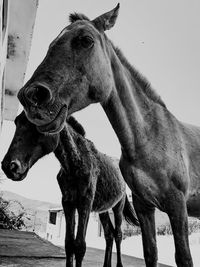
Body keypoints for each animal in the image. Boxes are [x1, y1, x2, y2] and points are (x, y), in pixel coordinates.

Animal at [16, 4, 198, 267]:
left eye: (85, 40)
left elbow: (183, 258)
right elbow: (149, 254)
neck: (149, 137)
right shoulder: (143, 206)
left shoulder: (177, 205)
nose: (31, 96)